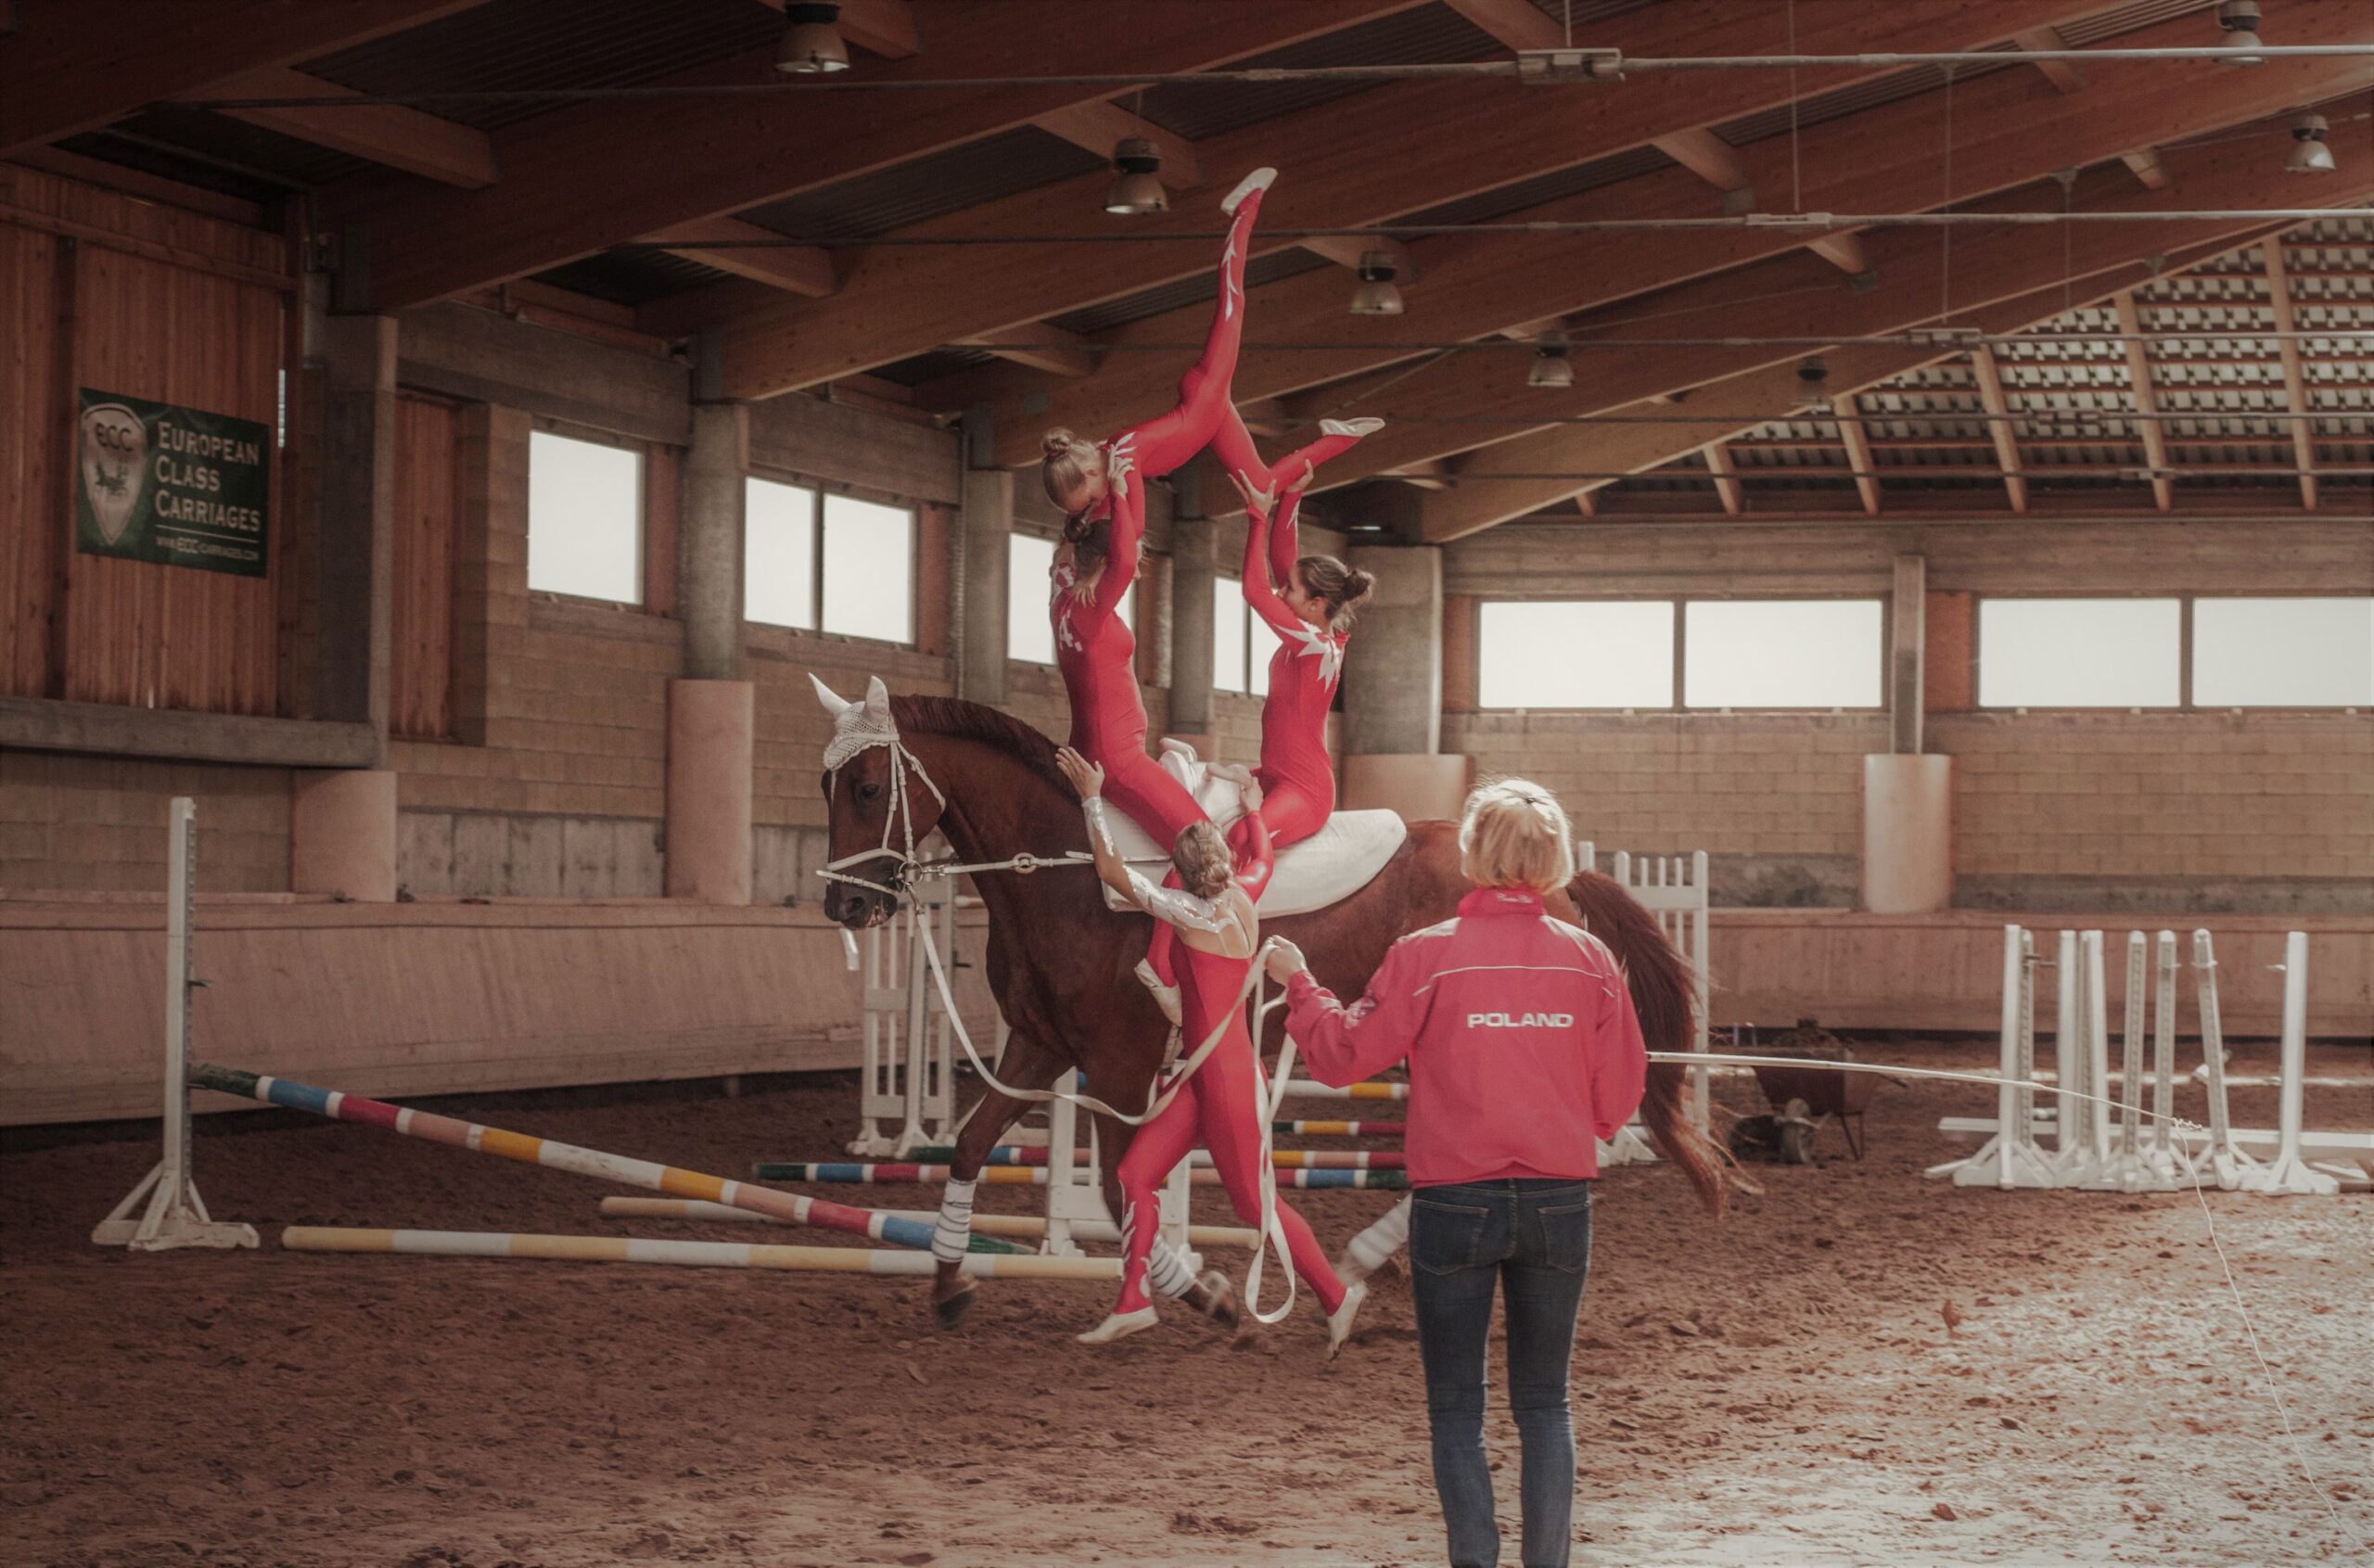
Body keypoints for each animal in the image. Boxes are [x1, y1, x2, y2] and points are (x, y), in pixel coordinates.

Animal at [816, 693, 1728, 1328]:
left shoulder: (1117, 1063)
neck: (1070, 875)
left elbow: (1114, 1186)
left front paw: (1206, 1290)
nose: (843, 905)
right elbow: (972, 1146)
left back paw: (1366, 1255)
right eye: (826, 786)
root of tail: (1555, 879)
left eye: (866, 786)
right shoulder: (1041, 1047)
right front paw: (948, 1281)